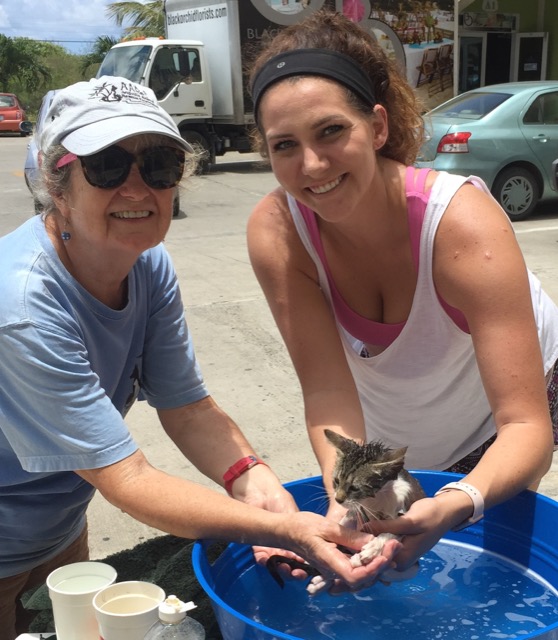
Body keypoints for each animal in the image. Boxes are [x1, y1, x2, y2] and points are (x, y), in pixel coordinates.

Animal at [308, 430, 426, 596]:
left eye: (354, 488)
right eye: (336, 481)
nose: (338, 499)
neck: (375, 500)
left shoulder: (406, 516)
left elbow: (392, 531)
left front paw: (373, 547)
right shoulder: (355, 510)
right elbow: (346, 523)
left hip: (411, 569)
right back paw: (321, 582)